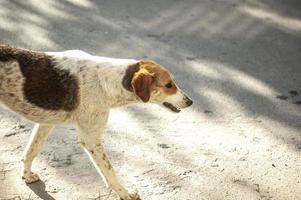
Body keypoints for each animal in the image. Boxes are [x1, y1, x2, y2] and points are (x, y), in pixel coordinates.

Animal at [0, 44, 192, 200]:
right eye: (168, 85)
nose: (190, 102)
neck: (107, 82)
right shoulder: (91, 138)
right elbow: (110, 172)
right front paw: (125, 194)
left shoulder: (46, 123)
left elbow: (31, 151)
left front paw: (27, 175)